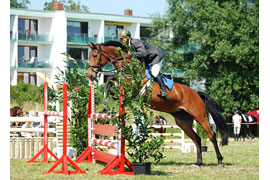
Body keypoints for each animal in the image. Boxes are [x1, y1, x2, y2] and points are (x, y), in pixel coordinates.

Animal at [87, 41, 228, 167]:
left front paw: (106, 94)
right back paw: (198, 163)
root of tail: (197, 94)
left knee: (211, 135)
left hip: (199, 116)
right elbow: (111, 80)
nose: (91, 76)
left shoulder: (132, 86)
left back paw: (220, 161)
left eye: (95, 55)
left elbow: (113, 80)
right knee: (197, 139)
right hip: (183, 121)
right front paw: (106, 94)